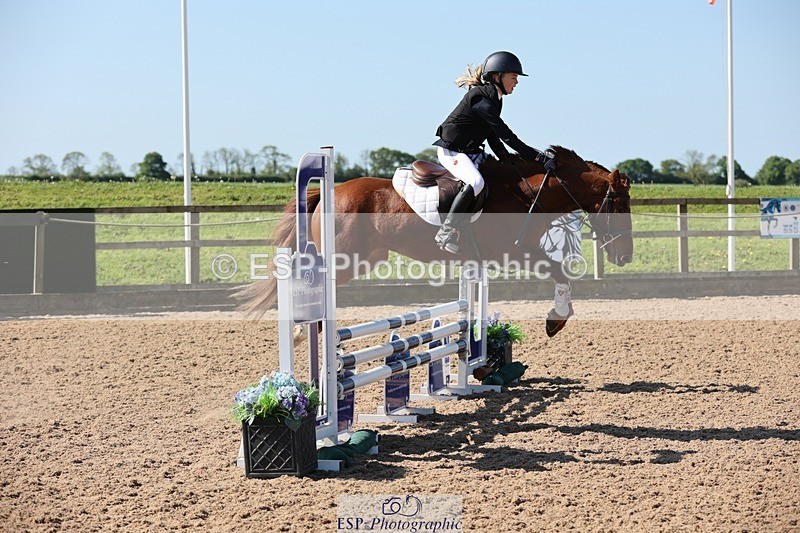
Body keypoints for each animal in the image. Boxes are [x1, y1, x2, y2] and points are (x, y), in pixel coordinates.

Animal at [238, 145, 633, 336]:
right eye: (617, 204)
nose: (625, 257)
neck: (525, 193)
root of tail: (328, 191)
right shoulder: (514, 253)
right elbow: (560, 273)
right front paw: (556, 319)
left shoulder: (517, 252)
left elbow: (561, 274)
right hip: (343, 260)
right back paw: (305, 337)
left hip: (367, 258)